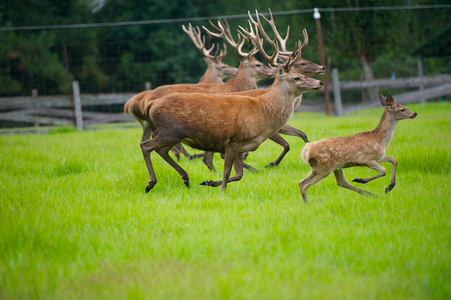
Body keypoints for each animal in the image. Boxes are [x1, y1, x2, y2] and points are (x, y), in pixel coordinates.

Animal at [139, 19, 324, 192]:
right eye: (297, 77)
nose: (320, 81)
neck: (264, 111)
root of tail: (150, 103)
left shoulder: (242, 147)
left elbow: (238, 174)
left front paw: (209, 182)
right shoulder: (235, 140)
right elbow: (227, 171)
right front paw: (221, 191)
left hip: (172, 134)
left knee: (161, 150)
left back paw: (185, 178)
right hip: (170, 130)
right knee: (146, 146)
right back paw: (151, 182)